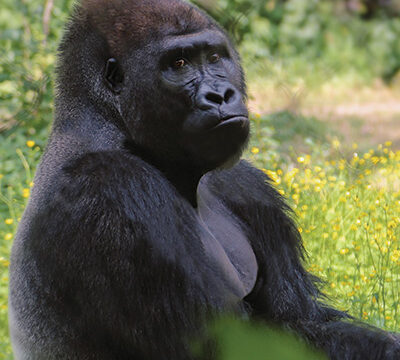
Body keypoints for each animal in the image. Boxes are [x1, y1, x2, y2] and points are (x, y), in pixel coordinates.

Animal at [7, 0, 400, 358]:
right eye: (179, 64)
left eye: (214, 58)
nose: (221, 95)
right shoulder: (112, 188)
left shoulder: (247, 186)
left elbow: (300, 317)